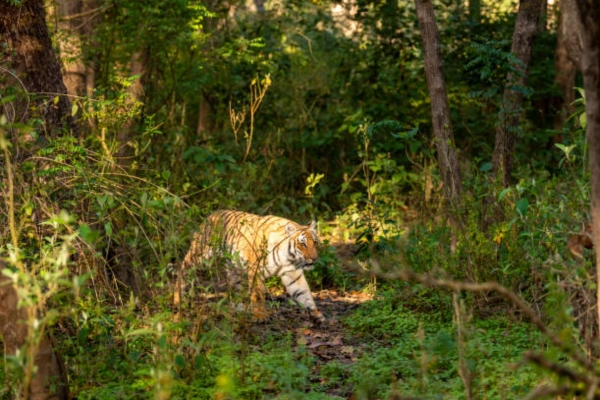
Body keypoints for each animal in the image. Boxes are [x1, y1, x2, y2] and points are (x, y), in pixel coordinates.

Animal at [178, 211, 324, 324]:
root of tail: (209, 216)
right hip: (199, 256)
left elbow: (304, 293)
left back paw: (240, 308)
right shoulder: (256, 270)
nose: (314, 258)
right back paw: (177, 300)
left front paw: (316, 314)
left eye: (315, 242)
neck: (288, 256)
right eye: (302, 244)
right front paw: (260, 316)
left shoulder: (293, 274)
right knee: (183, 270)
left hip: (234, 269)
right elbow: (258, 294)